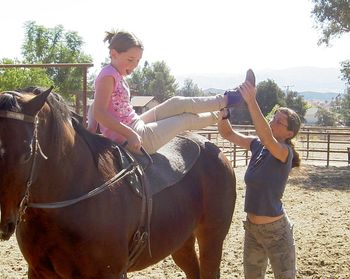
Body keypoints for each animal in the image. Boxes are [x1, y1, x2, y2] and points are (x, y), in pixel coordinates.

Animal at [0, 88, 237, 279]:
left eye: (27, 153)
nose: (4, 222)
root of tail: (211, 146)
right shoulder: (38, 271)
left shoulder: (109, 273)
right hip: (181, 241)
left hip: (212, 237)